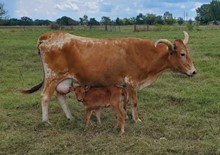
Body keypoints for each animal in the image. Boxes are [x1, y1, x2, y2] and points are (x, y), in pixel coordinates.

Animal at [21, 31, 196, 123]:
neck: (146, 54)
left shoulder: (125, 84)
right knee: (45, 97)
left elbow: (125, 102)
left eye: (187, 52)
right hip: (52, 77)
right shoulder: (132, 82)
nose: (194, 72)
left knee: (60, 96)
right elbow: (134, 102)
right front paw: (136, 119)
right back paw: (45, 121)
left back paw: (70, 117)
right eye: (182, 54)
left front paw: (126, 116)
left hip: (64, 79)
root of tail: (50, 35)